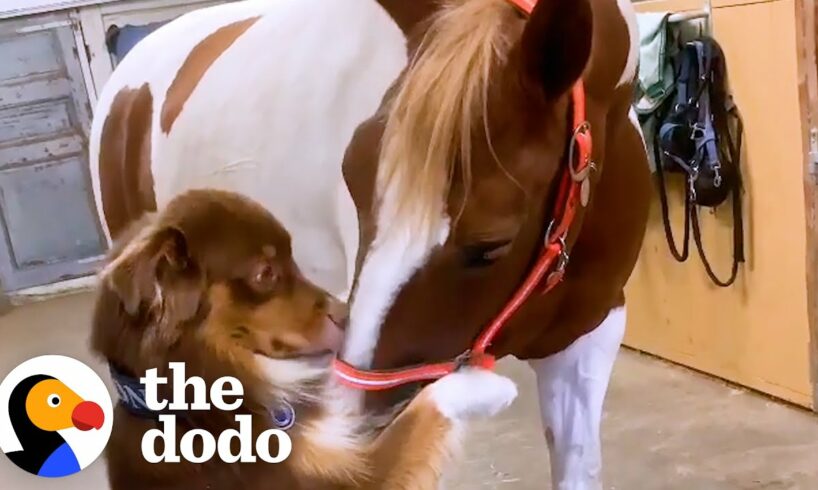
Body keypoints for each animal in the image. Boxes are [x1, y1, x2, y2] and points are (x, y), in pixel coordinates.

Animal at [91, 189, 516, 488]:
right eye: (265, 273)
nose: (346, 316)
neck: (194, 409)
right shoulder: (356, 479)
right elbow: (421, 410)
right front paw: (484, 385)